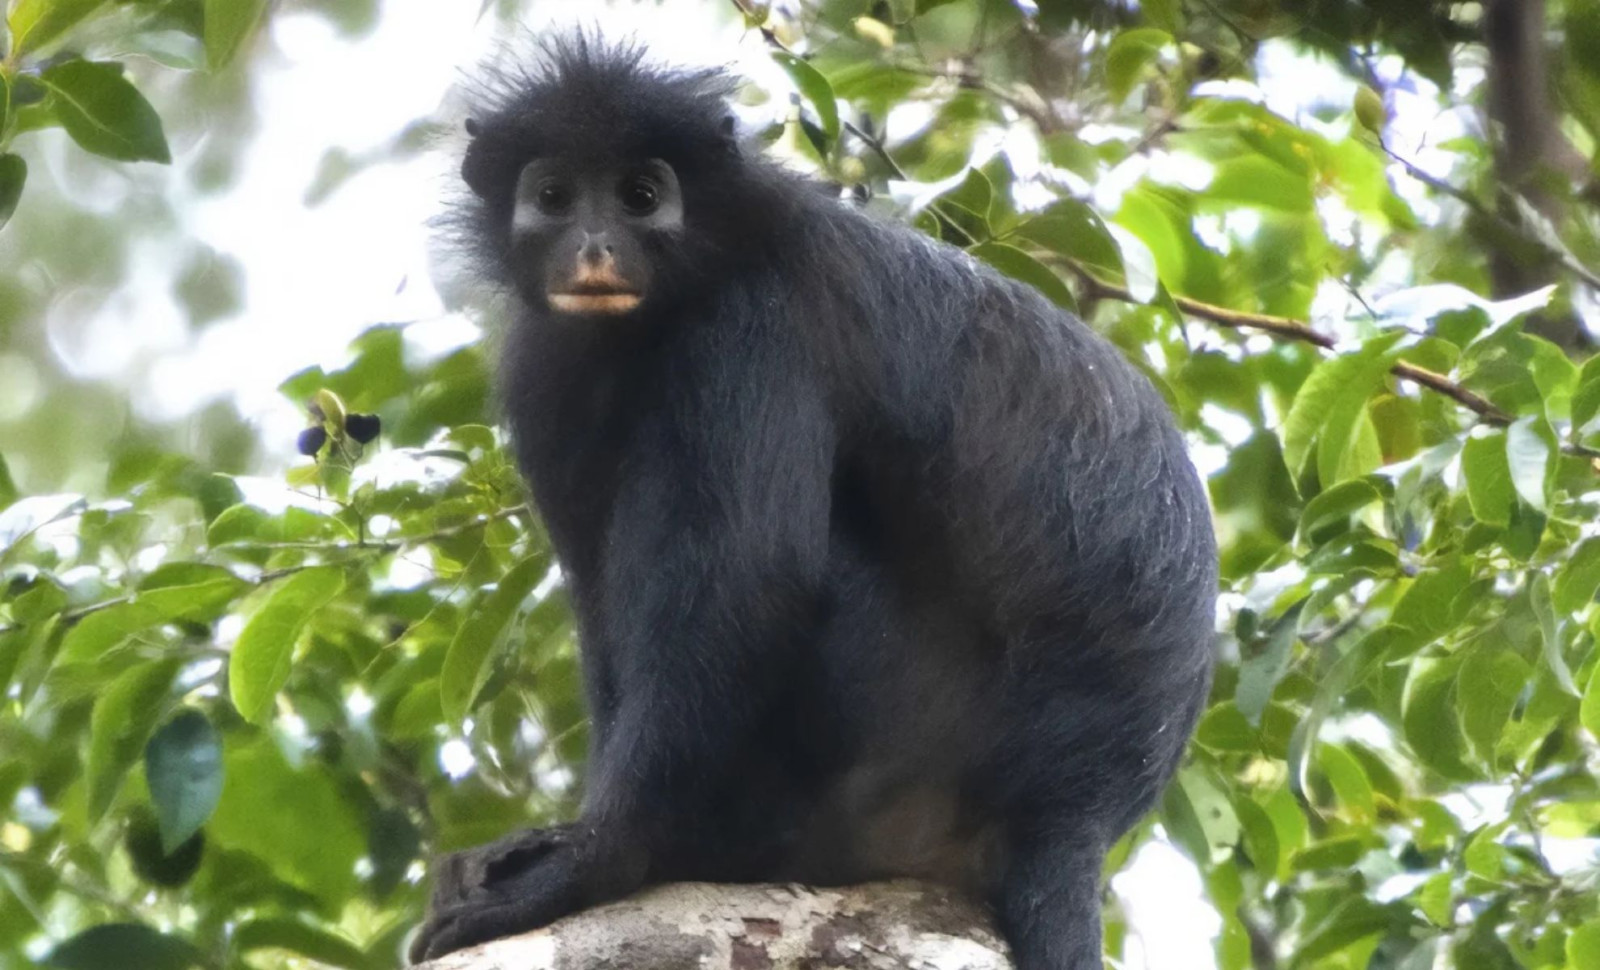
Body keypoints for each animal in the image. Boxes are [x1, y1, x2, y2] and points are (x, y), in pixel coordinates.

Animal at [410, 35, 1217, 970]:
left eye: (641, 197)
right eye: (553, 197)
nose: (596, 247)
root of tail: (1078, 809)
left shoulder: (752, 325)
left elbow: (747, 585)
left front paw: (598, 861)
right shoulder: (546, 367)